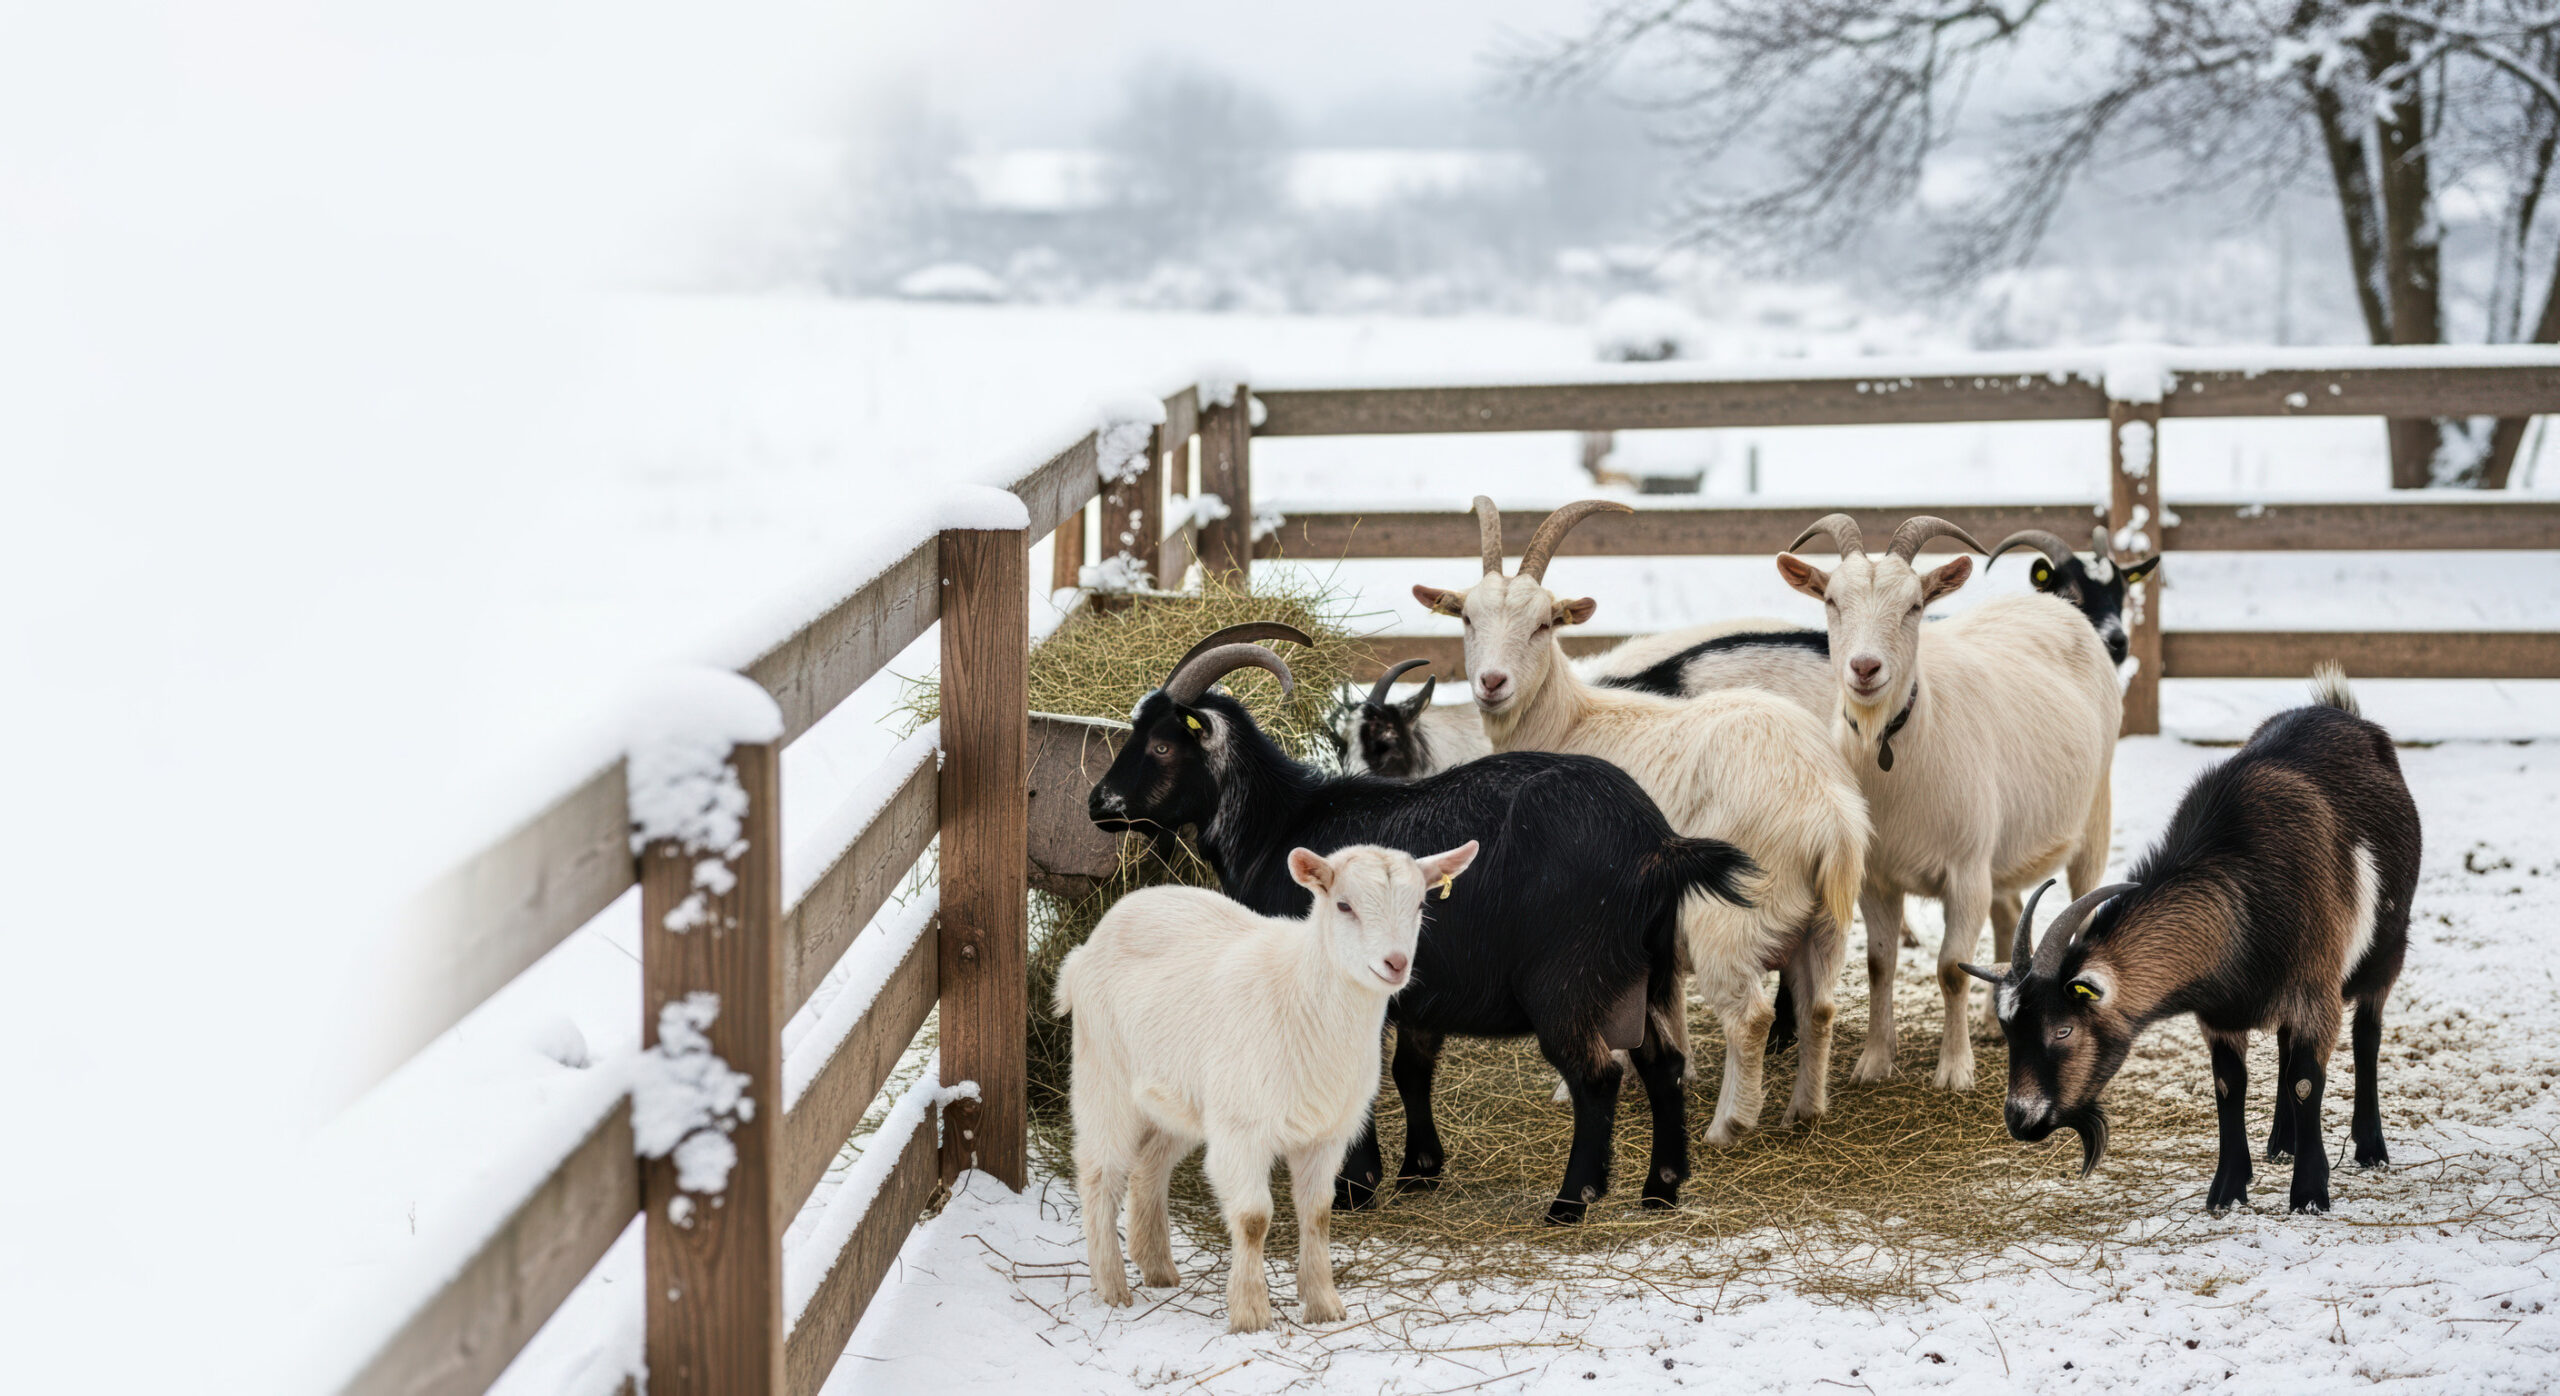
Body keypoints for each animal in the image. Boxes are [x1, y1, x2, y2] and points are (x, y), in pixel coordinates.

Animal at [1057, 838, 1480, 1330]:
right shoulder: (1241, 1131)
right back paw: (1111, 1286)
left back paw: (1157, 1267)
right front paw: (1251, 1313)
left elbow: (1317, 1214)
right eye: (1344, 905)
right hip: (1104, 1075)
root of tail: (1085, 949)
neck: (1302, 996)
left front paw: (1323, 1305)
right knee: (1099, 1173)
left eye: (1419, 906)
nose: (1395, 964)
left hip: (1178, 1097)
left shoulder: (1325, 1135)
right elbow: (1253, 1218)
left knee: (1150, 1166)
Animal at [1088, 623, 1760, 1221]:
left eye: (1162, 745)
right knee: (1663, 1066)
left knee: (1597, 1076)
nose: (1100, 805)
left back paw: (1572, 1202)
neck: (1278, 825)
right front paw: (1419, 1171)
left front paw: (1354, 1186)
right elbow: (1411, 1071)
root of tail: (1657, 845)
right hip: (1647, 973)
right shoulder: (1420, 990)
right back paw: (1661, 1189)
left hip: (1568, 980)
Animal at [1412, 499, 1871, 1144]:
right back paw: (1804, 1109)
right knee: (1820, 1005)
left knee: (1750, 1016)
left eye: (1543, 624)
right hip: (1826, 916)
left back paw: (1729, 1124)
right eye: (1468, 618)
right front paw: (1665, 1070)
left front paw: (1578, 1085)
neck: (1570, 722)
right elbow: (1663, 1003)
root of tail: (1826, 809)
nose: (1492, 683)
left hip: (1730, 913)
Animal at [1776, 513, 2120, 1090]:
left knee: (2082, 906)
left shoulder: (1965, 871)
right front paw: (1874, 1061)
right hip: (2002, 849)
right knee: (2010, 917)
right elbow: (1880, 964)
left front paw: (1955, 1071)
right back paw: (1991, 1020)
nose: (1864, 668)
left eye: (1914, 605)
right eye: (1831, 600)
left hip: (2092, 816)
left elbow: (1951, 969)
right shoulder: (1877, 877)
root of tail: (2055, 604)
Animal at [1963, 668, 2417, 1213]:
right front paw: (2227, 1191)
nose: (2020, 1119)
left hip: (2386, 949)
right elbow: (2229, 1085)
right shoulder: (2222, 1013)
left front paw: (2309, 1194)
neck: (2241, 892)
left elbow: (2308, 1081)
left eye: (2063, 1029)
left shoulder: (2315, 987)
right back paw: (2281, 1143)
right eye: (2008, 1031)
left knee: (2367, 1033)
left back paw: (2370, 1147)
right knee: (2285, 1045)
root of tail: (2340, 710)